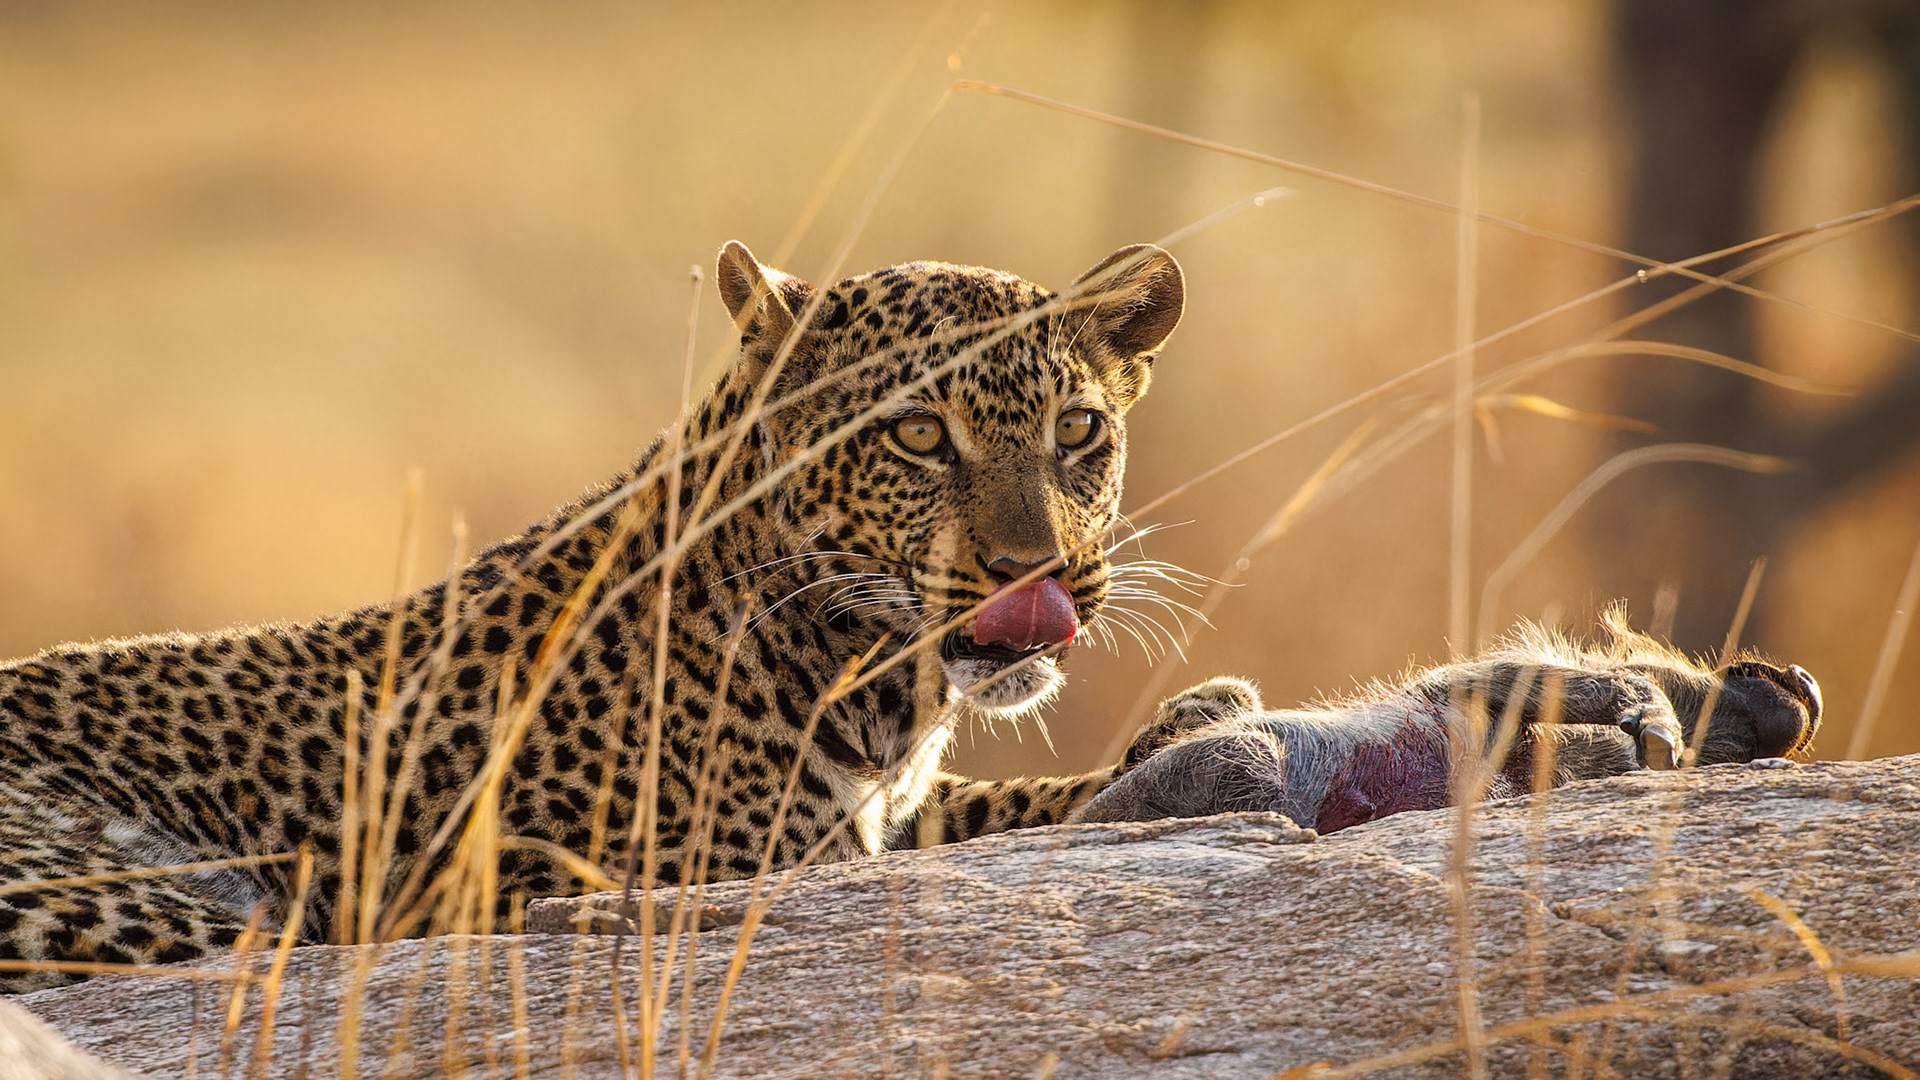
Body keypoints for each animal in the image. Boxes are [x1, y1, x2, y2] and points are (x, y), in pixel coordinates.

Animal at [0, 240, 1204, 991]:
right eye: (916, 435)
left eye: (1079, 431)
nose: (1034, 573)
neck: (873, 688)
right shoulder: (724, 860)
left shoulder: (887, 814)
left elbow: (1001, 808)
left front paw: (1192, 732)